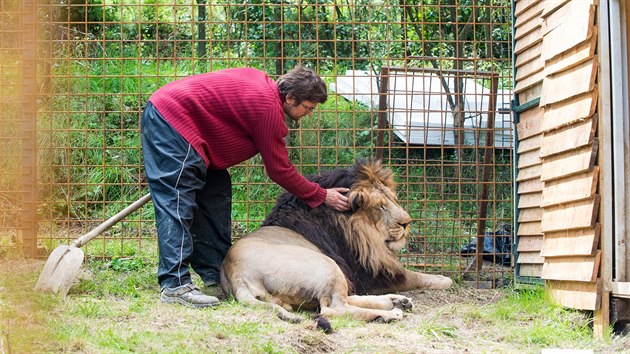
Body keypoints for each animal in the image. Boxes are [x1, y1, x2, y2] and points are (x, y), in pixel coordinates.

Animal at [220, 159, 452, 328]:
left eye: (393, 200)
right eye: (380, 206)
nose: (407, 223)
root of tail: (236, 276)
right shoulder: (371, 272)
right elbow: (417, 276)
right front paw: (444, 279)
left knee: (345, 299)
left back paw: (396, 301)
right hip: (326, 265)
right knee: (334, 308)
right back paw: (389, 313)